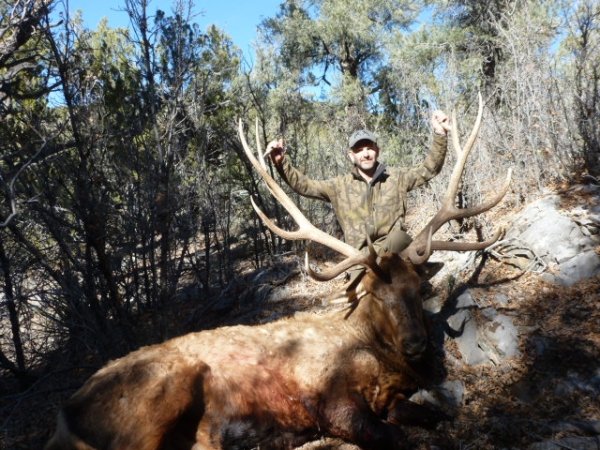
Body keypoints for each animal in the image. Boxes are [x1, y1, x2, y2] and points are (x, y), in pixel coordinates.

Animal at [45, 93, 510, 448]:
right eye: (376, 292)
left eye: (418, 287)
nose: (416, 343)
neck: (373, 350)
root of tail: (65, 415)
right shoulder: (329, 400)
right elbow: (392, 436)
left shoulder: (392, 398)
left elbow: (440, 415)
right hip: (163, 389)